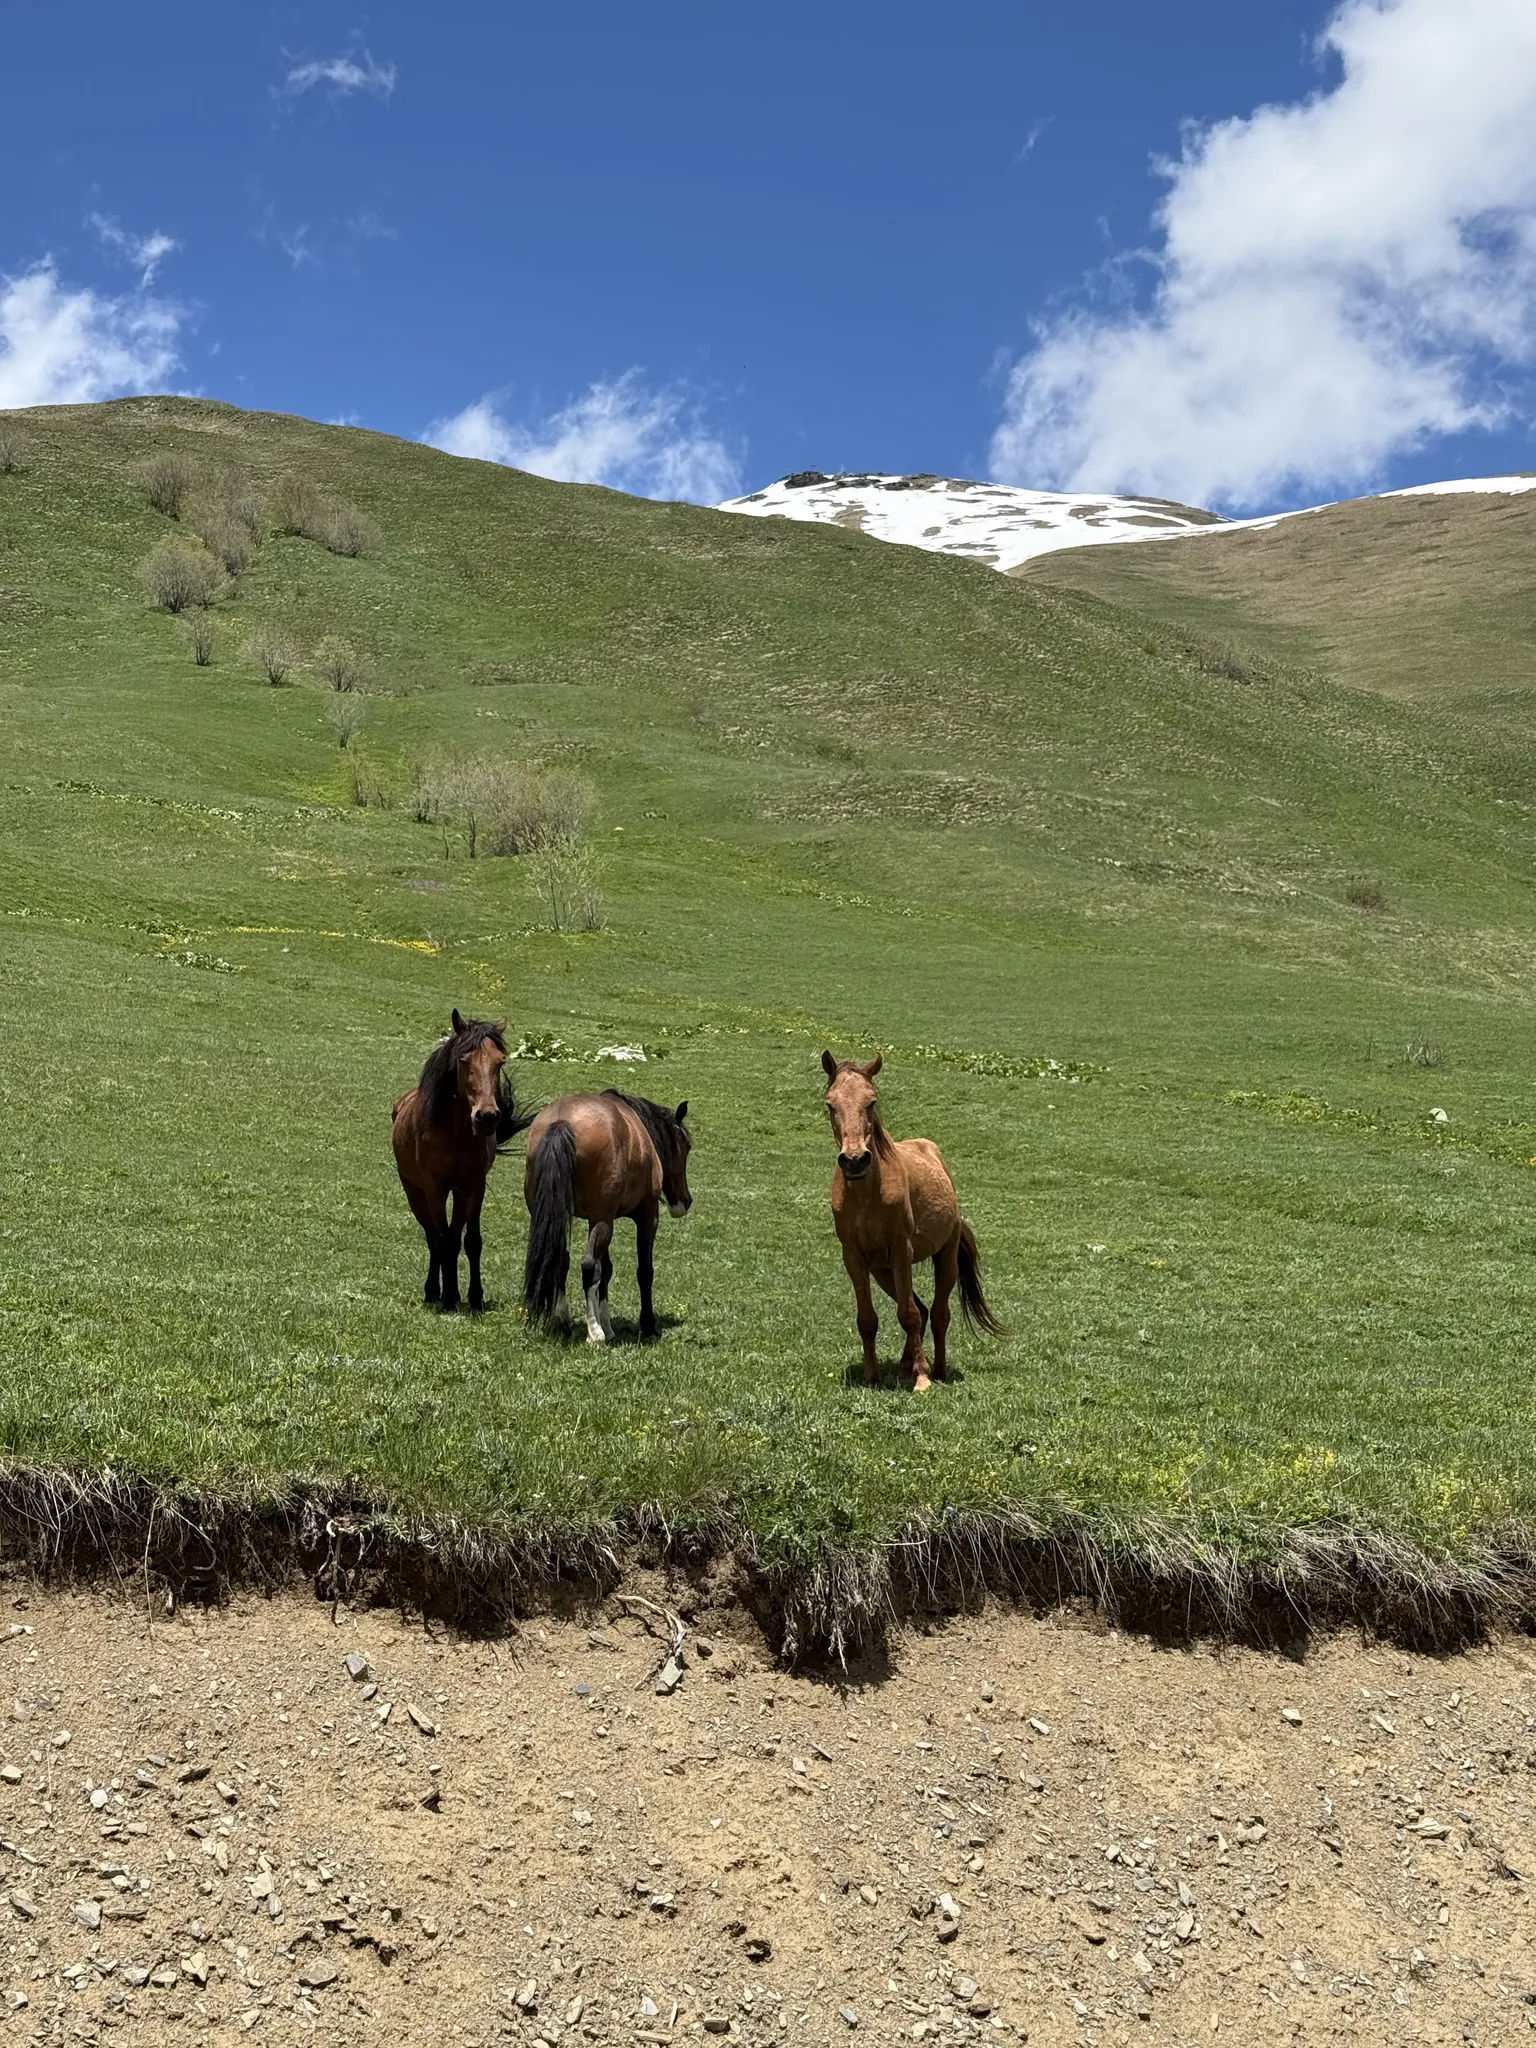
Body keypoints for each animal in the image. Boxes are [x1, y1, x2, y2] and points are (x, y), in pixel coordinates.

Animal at [391, 1010, 532, 1312]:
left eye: (500, 1061)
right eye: (464, 1060)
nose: (487, 1116)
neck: (454, 1132)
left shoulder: (474, 1186)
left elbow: (470, 1241)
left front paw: (474, 1297)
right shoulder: (434, 1187)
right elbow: (441, 1238)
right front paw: (446, 1298)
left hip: (458, 1193)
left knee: (454, 1237)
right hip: (415, 1192)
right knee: (434, 1237)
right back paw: (435, 1291)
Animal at [522, 1090, 692, 1342]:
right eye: (687, 1146)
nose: (685, 1201)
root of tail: (561, 1122)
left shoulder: (601, 1219)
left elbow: (607, 1270)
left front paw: (609, 1325)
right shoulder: (646, 1216)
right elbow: (644, 1271)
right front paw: (647, 1325)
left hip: (561, 1217)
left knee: (561, 1259)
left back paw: (562, 1320)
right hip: (602, 1221)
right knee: (588, 1266)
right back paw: (594, 1333)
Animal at [821, 1050, 1000, 1391]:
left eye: (871, 1101)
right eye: (830, 1104)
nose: (854, 1160)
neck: (867, 1195)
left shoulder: (901, 1249)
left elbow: (908, 1315)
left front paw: (922, 1379)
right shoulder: (854, 1256)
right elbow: (868, 1319)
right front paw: (872, 1376)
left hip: (945, 1258)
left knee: (938, 1313)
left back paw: (936, 1369)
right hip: (882, 1271)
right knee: (922, 1308)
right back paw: (907, 1366)